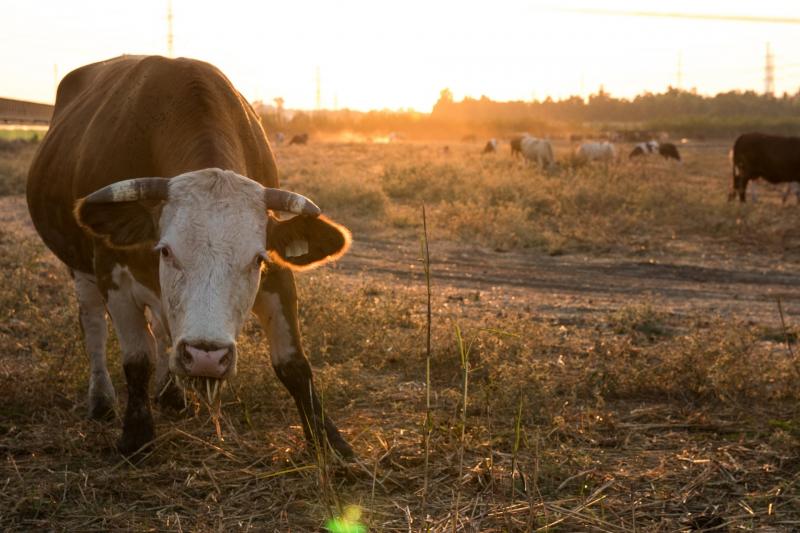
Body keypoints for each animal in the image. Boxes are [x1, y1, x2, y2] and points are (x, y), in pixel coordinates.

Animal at [25, 56, 354, 460]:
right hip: (80, 269)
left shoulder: (278, 273)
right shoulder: (112, 273)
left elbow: (293, 363)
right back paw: (101, 399)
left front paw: (330, 441)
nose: (206, 357)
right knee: (93, 325)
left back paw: (171, 393)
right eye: (166, 250)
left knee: (164, 325)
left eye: (257, 259)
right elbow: (138, 358)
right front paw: (136, 435)